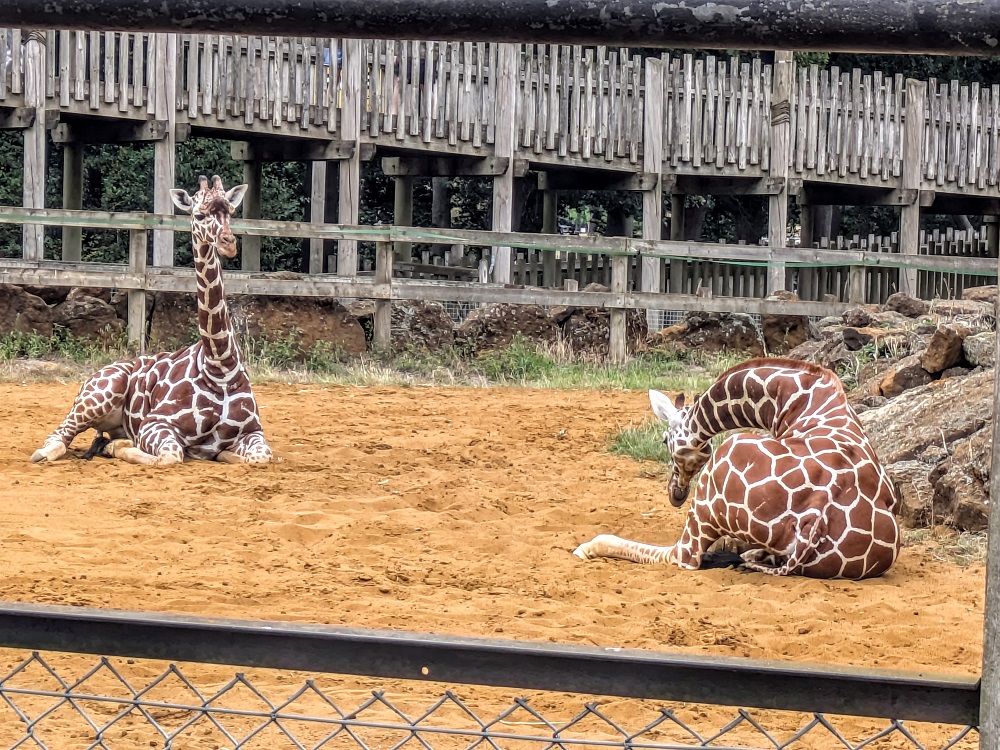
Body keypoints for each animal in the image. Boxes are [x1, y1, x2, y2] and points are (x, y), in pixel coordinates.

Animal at [31, 175, 273, 467]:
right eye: (199, 214)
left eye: (231, 211)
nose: (228, 243)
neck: (220, 368)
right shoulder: (154, 423)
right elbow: (170, 456)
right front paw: (120, 448)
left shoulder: (253, 431)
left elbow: (261, 457)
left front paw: (224, 454)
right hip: (99, 393)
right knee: (58, 437)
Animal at [574, 358, 901, 580]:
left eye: (665, 439)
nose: (676, 494)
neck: (794, 398)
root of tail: (816, 519)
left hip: (713, 485)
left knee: (681, 556)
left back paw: (587, 546)